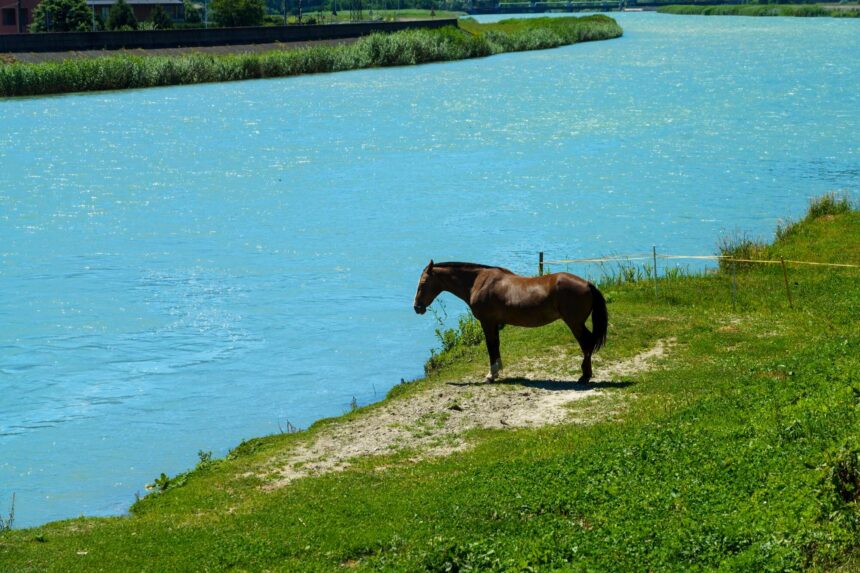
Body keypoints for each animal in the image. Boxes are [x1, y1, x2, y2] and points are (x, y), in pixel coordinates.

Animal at [413, 260, 608, 383]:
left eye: (422, 284)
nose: (417, 307)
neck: (478, 282)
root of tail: (587, 284)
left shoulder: (487, 322)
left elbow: (491, 346)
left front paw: (491, 375)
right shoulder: (495, 324)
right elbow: (496, 345)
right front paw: (498, 371)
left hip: (574, 323)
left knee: (587, 343)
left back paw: (584, 376)